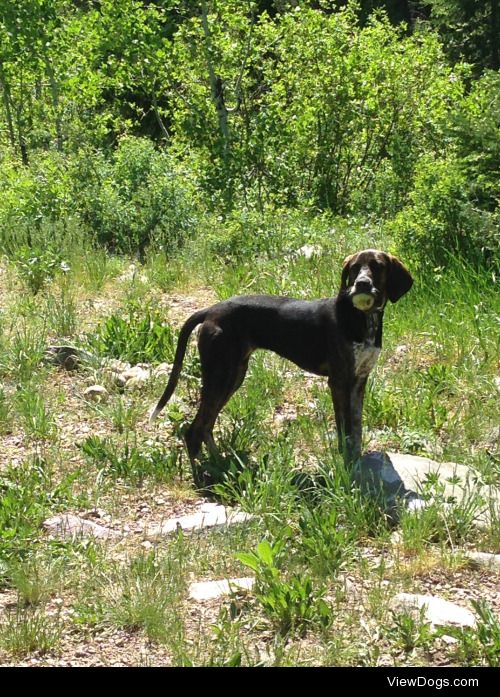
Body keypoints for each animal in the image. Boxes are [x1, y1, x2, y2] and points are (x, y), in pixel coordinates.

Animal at [149, 249, 414, 484]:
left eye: (377, 266)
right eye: (354, 268)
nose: (361, 284)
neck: (362, 318)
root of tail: (211, 311)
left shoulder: (359, 381)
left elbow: (356, 429)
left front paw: (356, 461)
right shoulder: (339, 381)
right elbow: (345, 430)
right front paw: (346, 464)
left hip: (233, 376)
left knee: (206, 427)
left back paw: (221, 466)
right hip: (221, 375)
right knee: (193, 431)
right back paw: (201, 478)